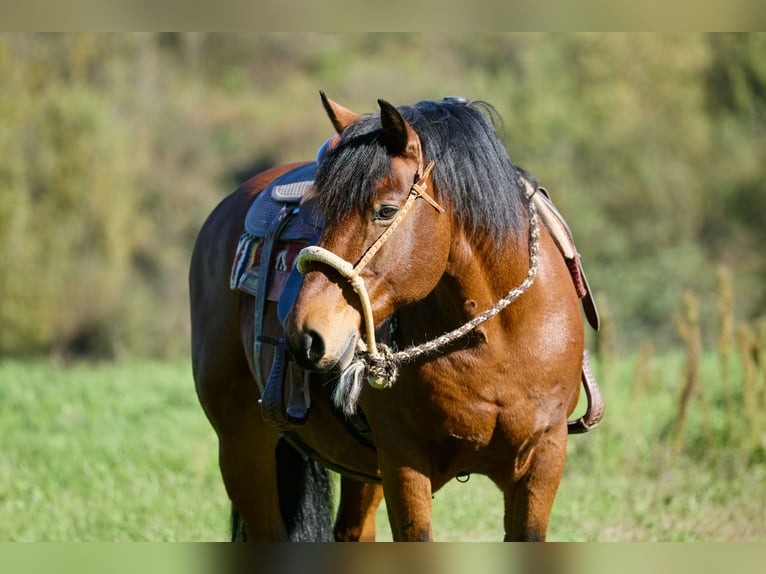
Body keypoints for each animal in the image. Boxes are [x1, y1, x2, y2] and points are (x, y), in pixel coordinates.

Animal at [189, 92, 604, 544]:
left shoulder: (543, 458)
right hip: (242, 445)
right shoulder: (404, 460)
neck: (495, 340)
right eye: (321, 212)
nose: (305, 335)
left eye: (385, 211)